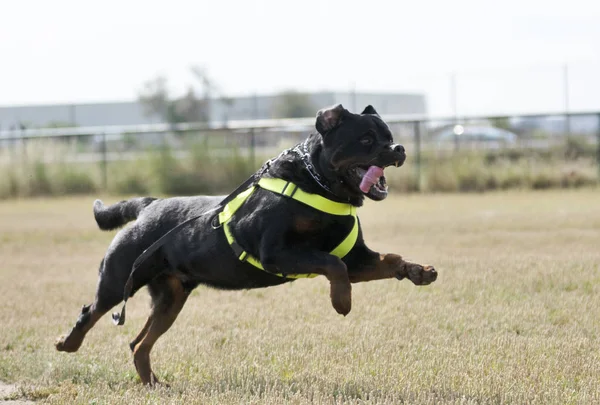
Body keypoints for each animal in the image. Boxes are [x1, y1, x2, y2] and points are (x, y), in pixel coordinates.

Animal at [55, 102, 436, 384]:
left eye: (389, 135)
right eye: (367, 139)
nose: (399, 148)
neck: (320, 186)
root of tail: (149, 205)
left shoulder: (357, 259)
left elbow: (386, 259)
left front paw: (418, 271)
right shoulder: (276, 252)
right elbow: (333, 264)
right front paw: (341, 301)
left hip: (170, 298)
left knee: (138, 344)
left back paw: (152, 384)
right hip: (118, 277)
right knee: (91, 311)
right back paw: (68, 343)